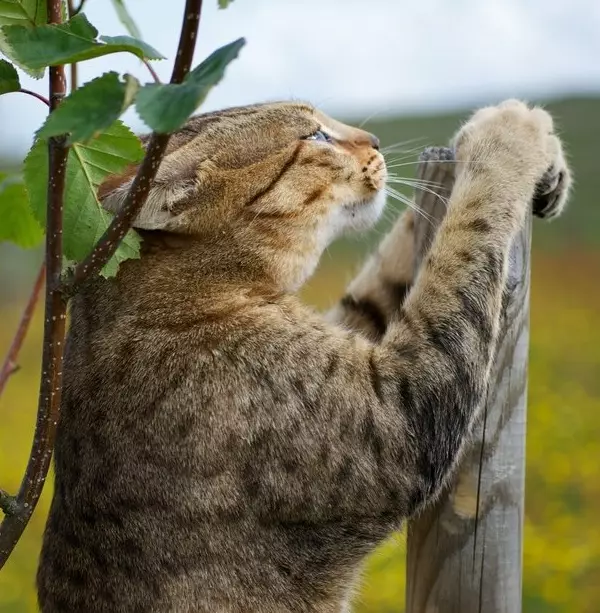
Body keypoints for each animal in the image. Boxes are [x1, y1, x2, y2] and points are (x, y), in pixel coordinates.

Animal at [37, 98, 572, 608]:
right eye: (315, 136)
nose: (374, 139)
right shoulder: (401, 416)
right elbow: (462, 242)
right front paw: (507, 136)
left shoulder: (352, 334)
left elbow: (390, 274)